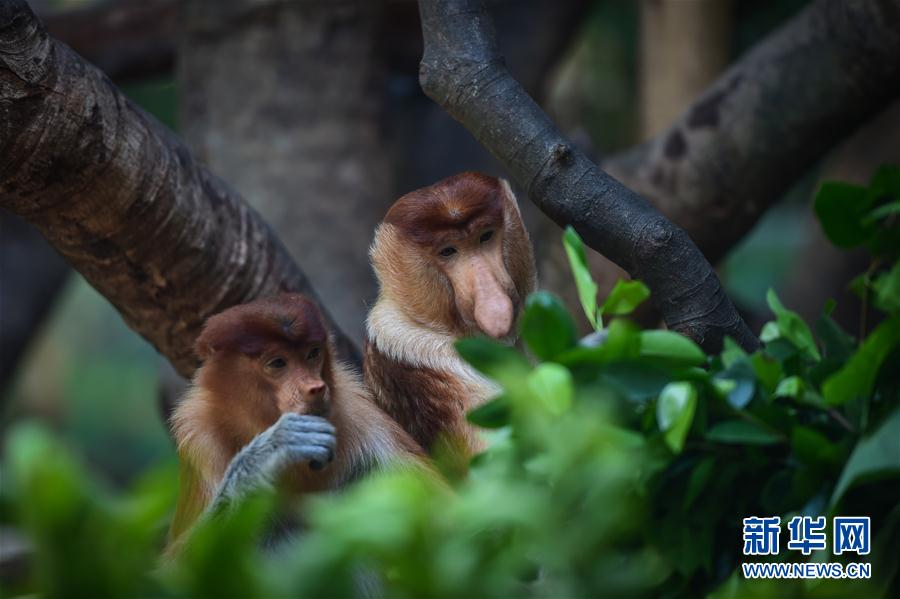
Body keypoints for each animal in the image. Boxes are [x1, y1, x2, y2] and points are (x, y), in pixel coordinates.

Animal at [168, 294, 428, 552]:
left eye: (312, 353)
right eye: (277, 363)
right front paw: (272, 451)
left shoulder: (361, 414)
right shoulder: (199, 436)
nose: (315, 388)